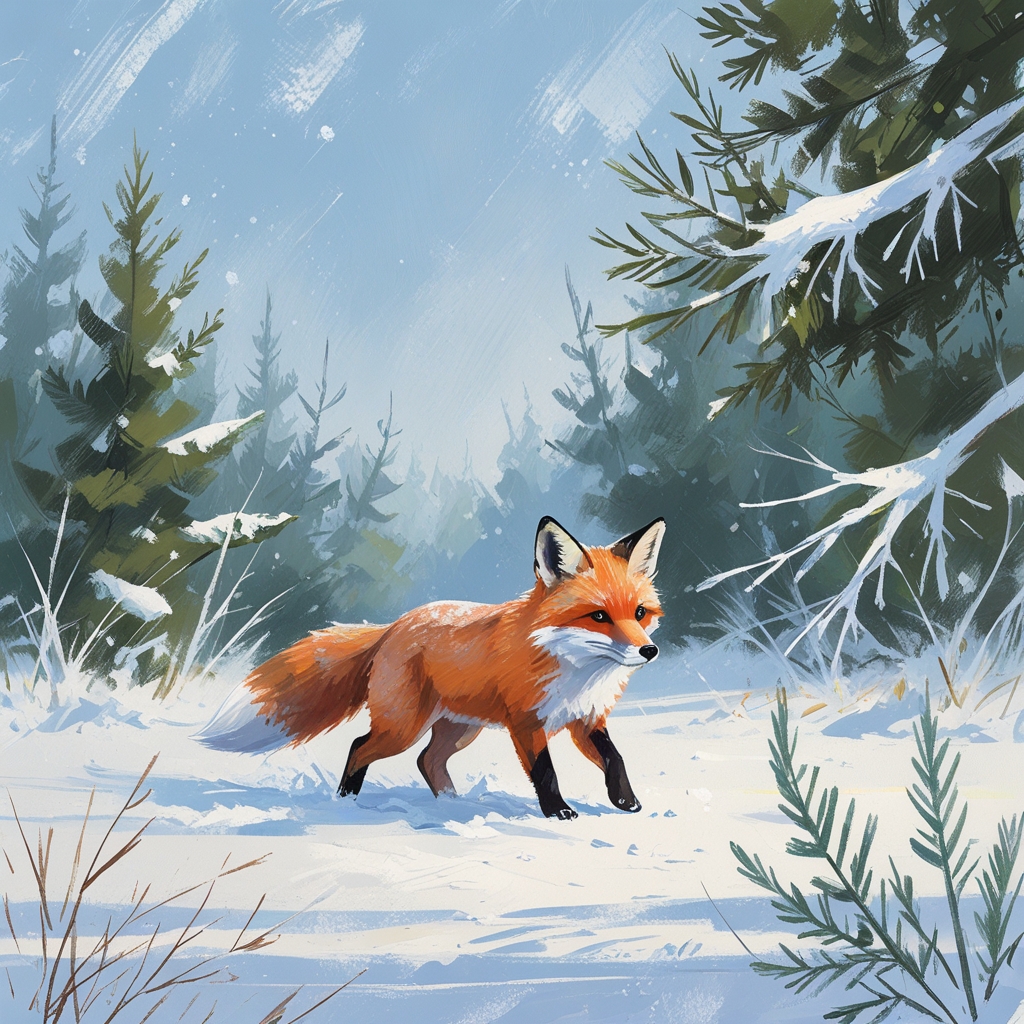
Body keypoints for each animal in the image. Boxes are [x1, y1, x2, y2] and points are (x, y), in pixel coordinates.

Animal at [196, 515, 666, 820]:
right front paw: (559, 812)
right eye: (599, 616)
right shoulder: (526, 723)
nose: (649, 651)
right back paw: (347, 801)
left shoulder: (585, 718)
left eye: (640, 613)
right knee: (360, 746)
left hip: (459, 729)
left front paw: (626, 802)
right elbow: (545, 772)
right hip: (404, 726)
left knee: (427, 761)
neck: (578, 671)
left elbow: (615, 759)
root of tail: (394, 626)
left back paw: (452, 802)